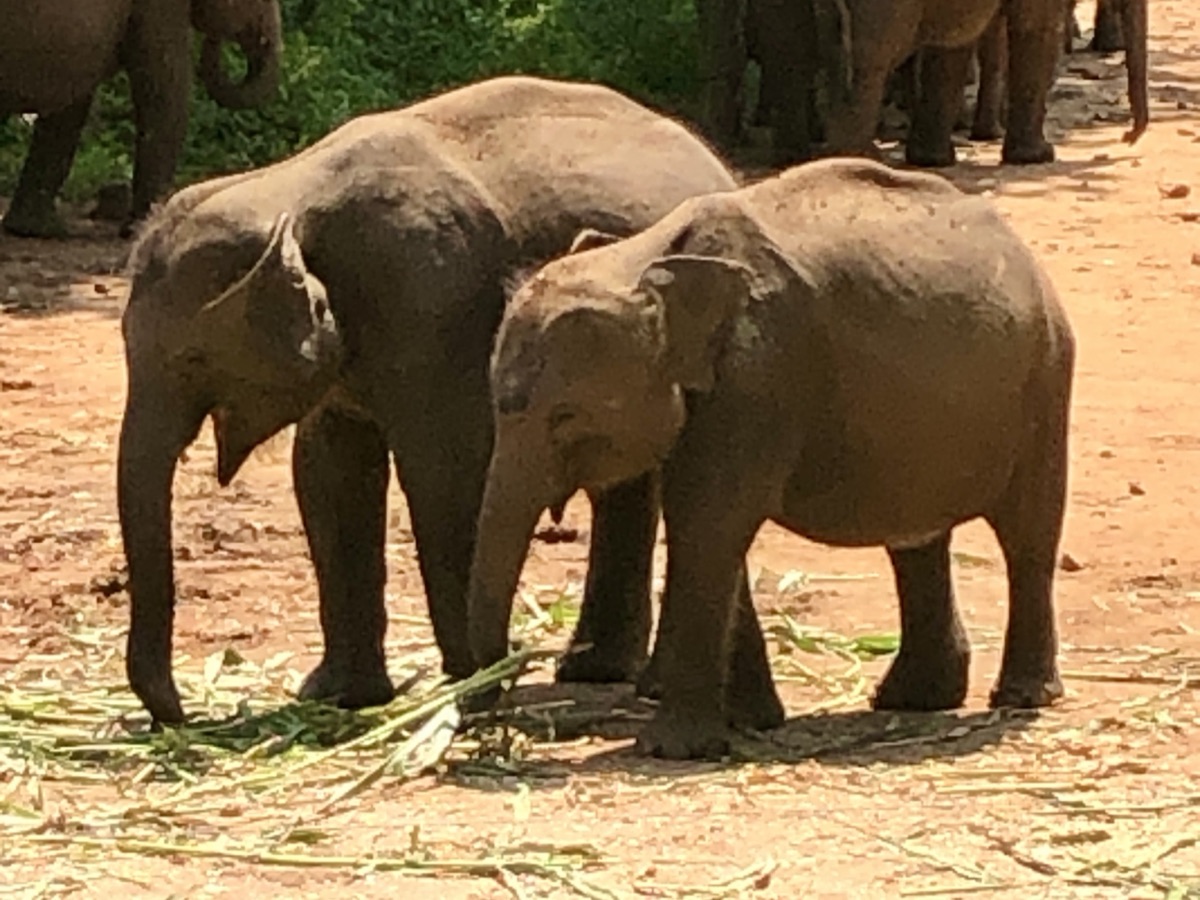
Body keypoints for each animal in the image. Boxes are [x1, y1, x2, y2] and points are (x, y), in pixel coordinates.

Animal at [0, 0, 282, 239]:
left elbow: (70, 106)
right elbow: (164, 91)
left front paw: (36, 229)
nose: (215, 40)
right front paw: (144, 229)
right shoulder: (157, 9)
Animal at [117, 75, 738, 725]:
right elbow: (327, 474)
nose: (179, 713)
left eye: (191, 360)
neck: (288, 188)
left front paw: (471, 691)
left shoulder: (431, 301)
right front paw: (340, 696)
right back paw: (595, 671)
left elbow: (446, 468)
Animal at [467, 157, 1075, 759]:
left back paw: (1021, 697)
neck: (649, 260)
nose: (488, 716)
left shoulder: (759, 373)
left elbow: (708, 523)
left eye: (565, 416)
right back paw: (913, 700)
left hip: (1046, 380)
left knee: (1027, 536)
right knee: (916, 540)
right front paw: (751, 722)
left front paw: (672, 751)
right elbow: (711, 526)